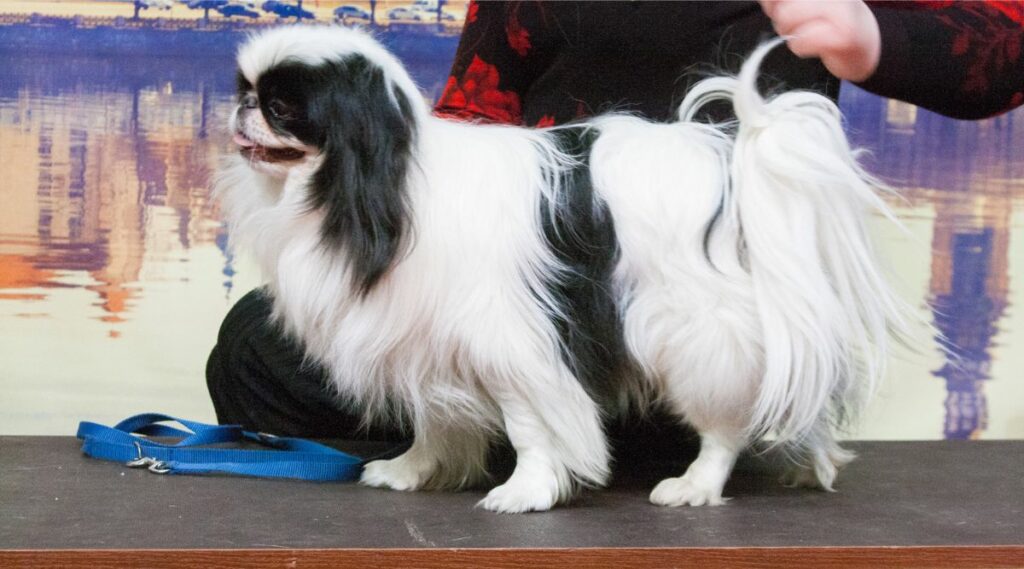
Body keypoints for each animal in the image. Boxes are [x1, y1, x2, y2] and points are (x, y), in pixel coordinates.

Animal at [218, 26, 913, 513]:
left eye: (282, 106)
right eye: (247, 92)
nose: (242, 108)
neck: (382, 187)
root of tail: (734, 165)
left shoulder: (512, 342)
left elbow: (529, 428)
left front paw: (525, 492)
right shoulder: (428, 340)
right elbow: (434, 421)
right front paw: (413, 470)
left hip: (695, 332)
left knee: (724, 425)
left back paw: (694, 484)